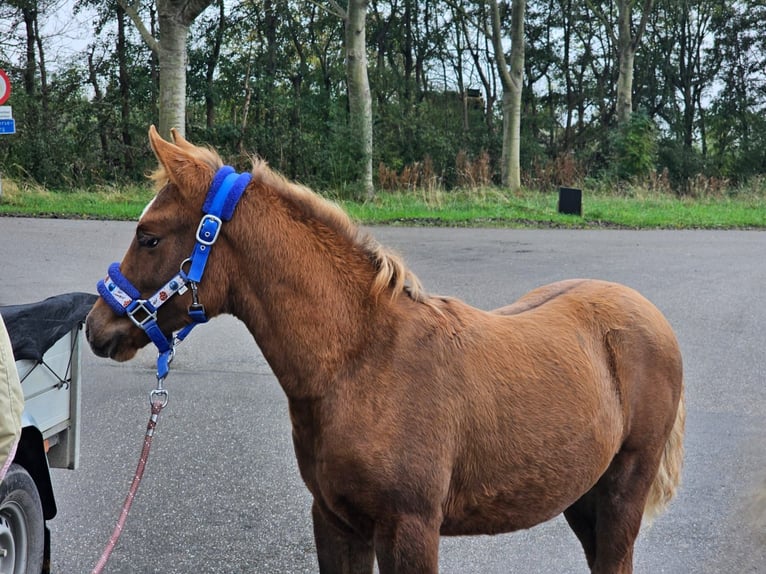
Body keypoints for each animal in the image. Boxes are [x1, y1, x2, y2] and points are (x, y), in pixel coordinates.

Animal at [87, 129, 688, 574]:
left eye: (149, 236)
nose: (96, 328)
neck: (361, 363)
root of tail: (650, 315)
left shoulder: (410, 529)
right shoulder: (336, 522)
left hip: (622, 492)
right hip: (583, 498)